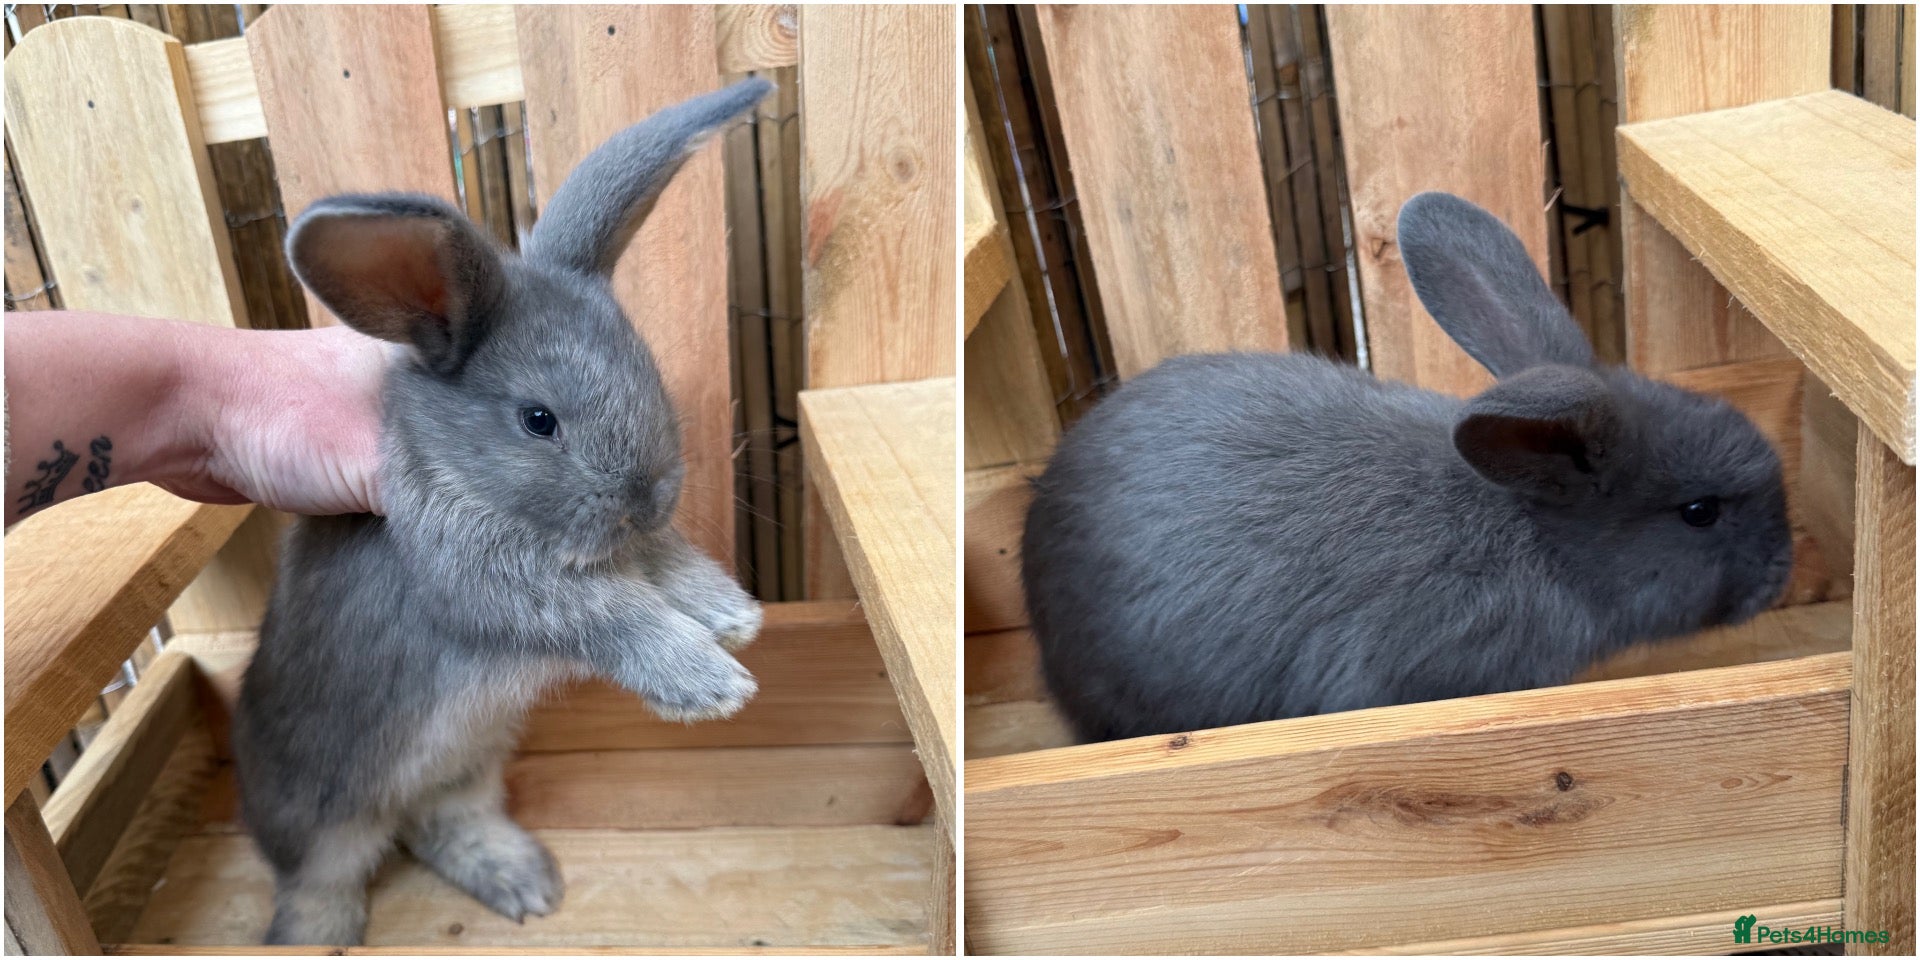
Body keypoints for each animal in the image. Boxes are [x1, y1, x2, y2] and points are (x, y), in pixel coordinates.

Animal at [231, 78, 773, 946]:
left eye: (647, 370)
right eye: (538, 420)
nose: (650, 496)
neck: (457, 472)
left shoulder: (623, 546)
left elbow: (663, 562)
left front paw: (732, 616)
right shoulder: (495, 586)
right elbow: (615, 616)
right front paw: (711, 681)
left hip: (465, 769)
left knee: (440, 823)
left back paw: (524, 884)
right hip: (320, 814)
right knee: (319, 877)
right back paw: (314, 938)